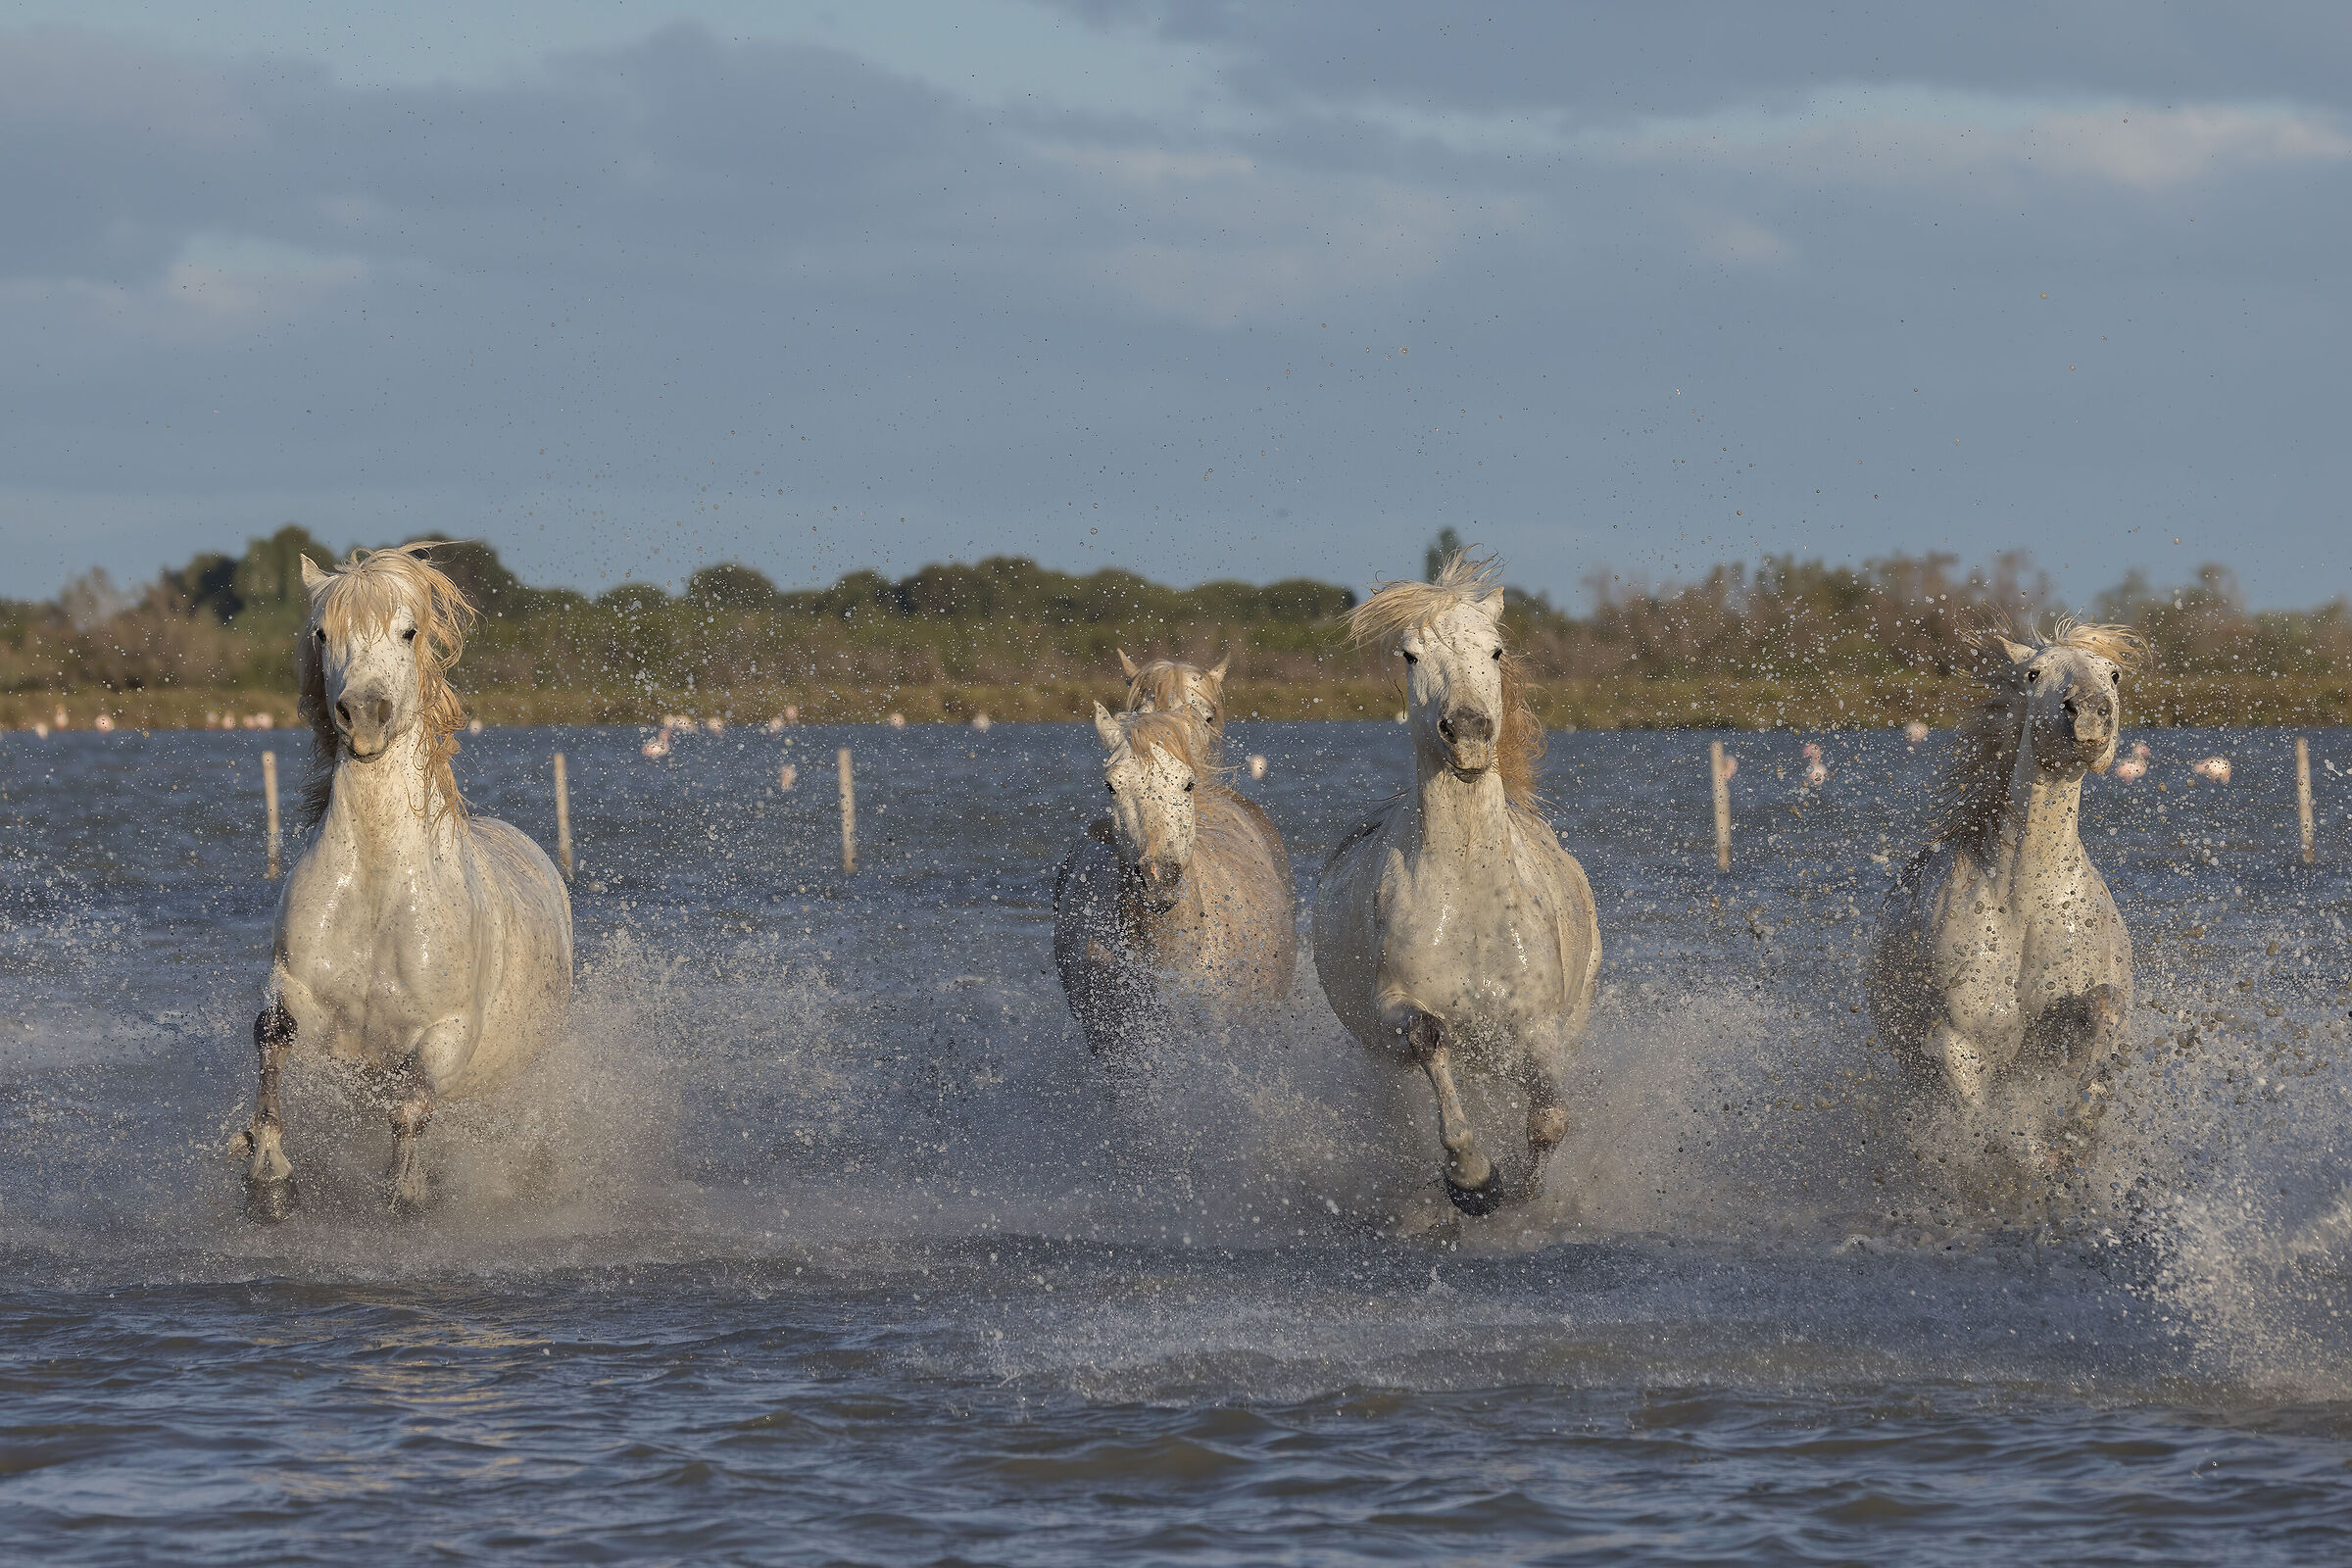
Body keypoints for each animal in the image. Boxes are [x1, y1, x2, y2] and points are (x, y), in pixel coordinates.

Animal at [230, 544, 573, 1221]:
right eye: (322, 632)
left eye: (408, 631)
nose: (364, 715)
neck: (378, 881)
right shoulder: (298, 991)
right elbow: (273, 1041)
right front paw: (269, 1171)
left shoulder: (447, 1032)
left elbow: (410, 1108)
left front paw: (406, 1192)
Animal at [1311, 551, 1601, 1216]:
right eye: (1410, 655)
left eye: (1495, 649)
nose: (1467, 730)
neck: (1471, 899)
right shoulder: (1398, 1006)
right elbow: (1429, 1037)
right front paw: (1473, 1179)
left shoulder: (1536, 1023)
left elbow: (1548, 1118)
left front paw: (1521, 1188)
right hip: (1377, 1058)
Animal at [1866, 619, 2141, 1180]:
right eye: (2033, 674)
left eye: (2114, 673)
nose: (2088, 713)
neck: (2026, 902)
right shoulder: (1959, 1042)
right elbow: (1992, 1125)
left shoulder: (2064, 1024)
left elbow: (2100, 1020)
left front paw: (2073, 1129)